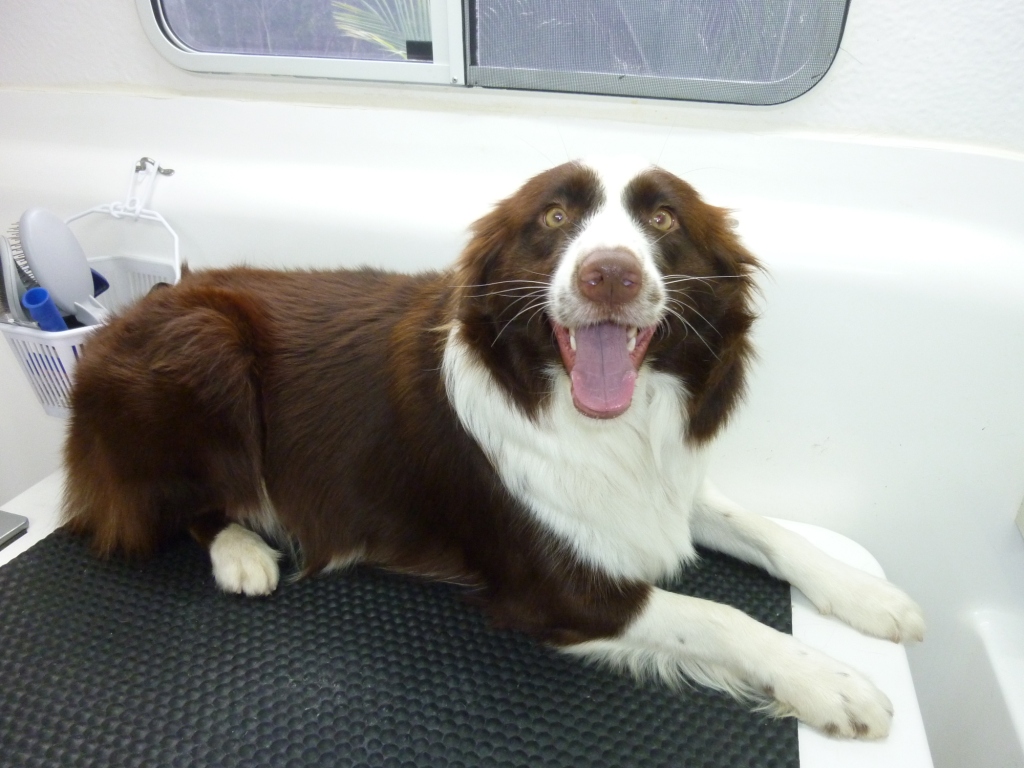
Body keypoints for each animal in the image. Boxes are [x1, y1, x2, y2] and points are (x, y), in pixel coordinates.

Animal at [64, 156, 929, 741]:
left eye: (663, 222)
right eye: (552, 219)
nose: (610, 274)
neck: (595, 418)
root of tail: (125, 317)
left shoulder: (660, 490)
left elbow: (764, 529)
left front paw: (867, 594)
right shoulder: (558, 587)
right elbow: (719, 618)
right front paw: (831, 681)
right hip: (203, 345)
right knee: (181, 507)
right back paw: (243, 549)